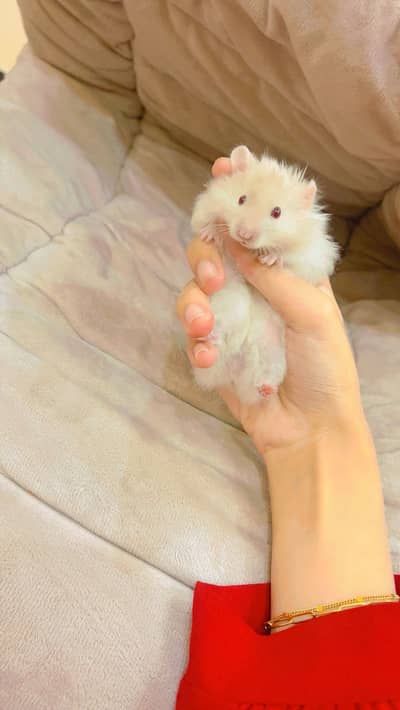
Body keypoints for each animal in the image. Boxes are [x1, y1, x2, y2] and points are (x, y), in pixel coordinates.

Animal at [190, 145, 340, 405]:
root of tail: (233, 373)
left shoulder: (313, 258)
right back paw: (210, 337)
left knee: (261, 380)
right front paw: (211, 235)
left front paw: (271, 258)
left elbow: (290, 259)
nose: (243, 235)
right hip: (229, 311)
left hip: (270, 352)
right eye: (241, 199)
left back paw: (267, 389)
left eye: (277, 212)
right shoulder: (204, 207)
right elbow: (205, 223)